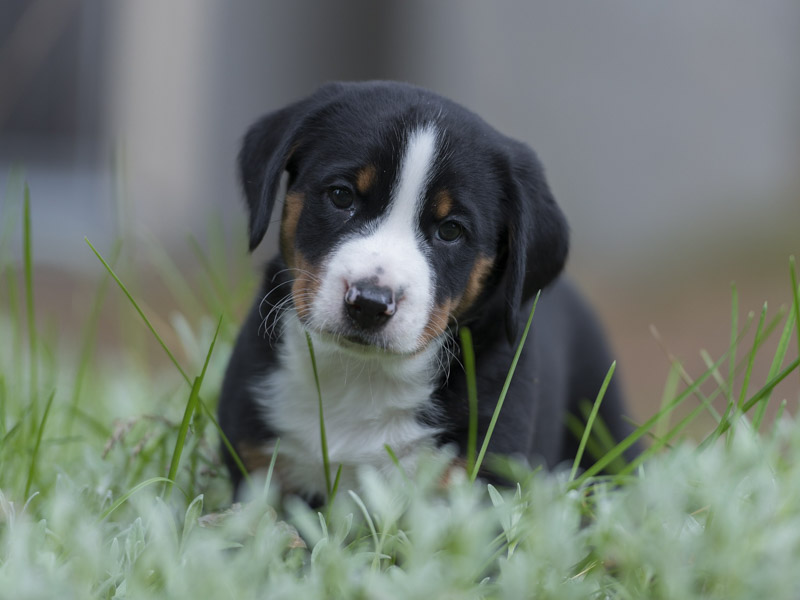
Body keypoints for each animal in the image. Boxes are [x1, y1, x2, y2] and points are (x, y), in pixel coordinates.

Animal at [217, 81, 636, 502]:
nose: (369, 304)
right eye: (341, 196)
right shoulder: (257, 470)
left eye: (450, 230)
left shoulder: (480, 480)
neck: (362, 377)